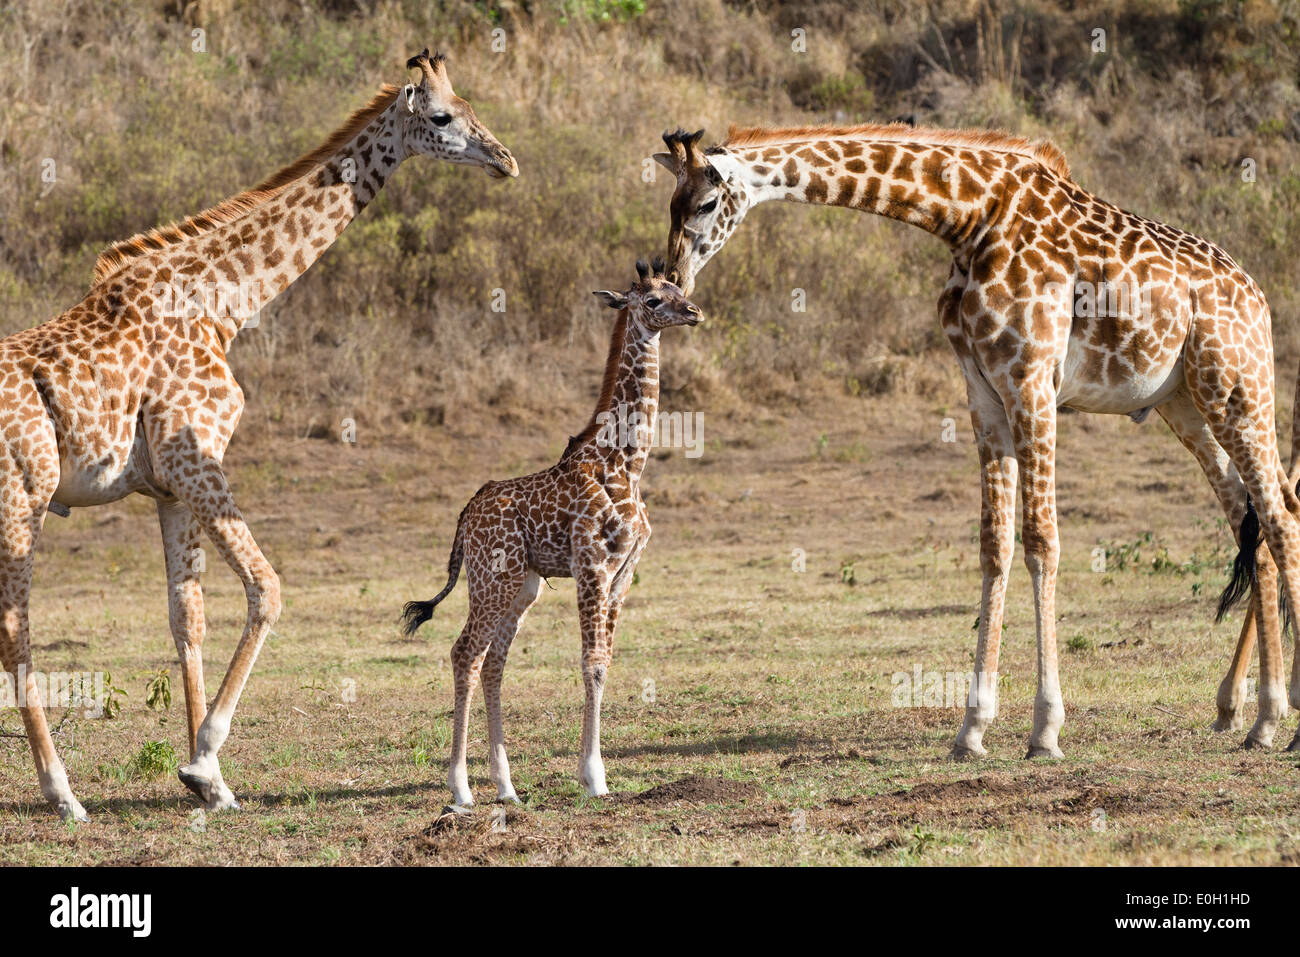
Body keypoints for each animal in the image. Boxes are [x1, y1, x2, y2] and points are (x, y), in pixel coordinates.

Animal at [0, 50, 517, 821]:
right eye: (443, 115)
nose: (505, 159)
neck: (223, 302)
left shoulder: (171, 486)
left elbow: (186, 617)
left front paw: (208, 779)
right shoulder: (197, 460)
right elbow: (267, 589)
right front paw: (205, 753)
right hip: (22, 501)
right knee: (16, 629)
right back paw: (62, 793)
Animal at [401, 259, 702, 808]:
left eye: (677, 288)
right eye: (652, 300)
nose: (693, 312)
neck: (627, 463)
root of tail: (466, 515)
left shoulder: (624, 573)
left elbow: (606, 661)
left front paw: (594, 773)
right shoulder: (592, 565)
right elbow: (591, 662)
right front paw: (594, 777)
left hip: (522, 586)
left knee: (493, 661)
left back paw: (506, 787)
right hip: (492, 579)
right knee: (465, 653)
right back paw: (461, 787)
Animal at [654, 124, 1300, 756]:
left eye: (706, 203)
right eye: (670, 203)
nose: (674, 281)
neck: (967, 217)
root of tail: (1258, 297)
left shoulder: (1032, 381)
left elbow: (1041, 541)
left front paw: (1045, 730)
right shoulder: (984, 393)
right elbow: (995, 545)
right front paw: (972, 729)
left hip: (1238, 391)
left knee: (1279, 516)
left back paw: (1279, 722)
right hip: (1186, 404)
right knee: (1256, 520)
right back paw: (1257, 718)